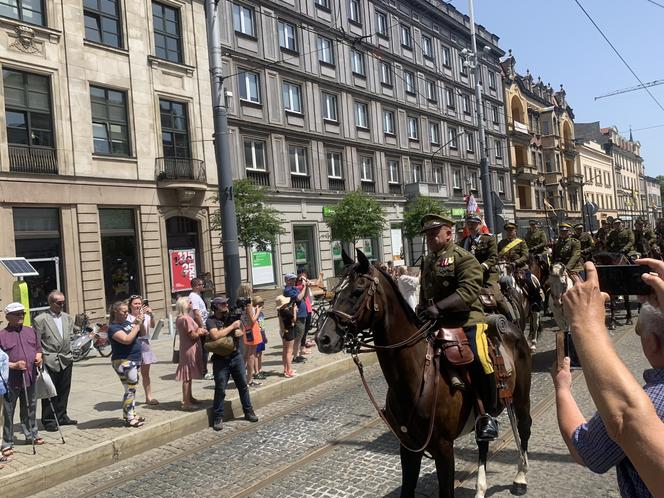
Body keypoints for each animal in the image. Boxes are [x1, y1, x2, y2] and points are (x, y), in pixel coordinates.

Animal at [316, 251, 536, 496]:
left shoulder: (444, 448)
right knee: (483, 442)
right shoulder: (409, 448)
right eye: (335, 292)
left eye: (356, 291)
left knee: (524, 427)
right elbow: (407, 489)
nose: (323, 338)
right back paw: (480, 487)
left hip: (521, 397)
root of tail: (511, 326)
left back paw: (520, 477)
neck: (418, 376)